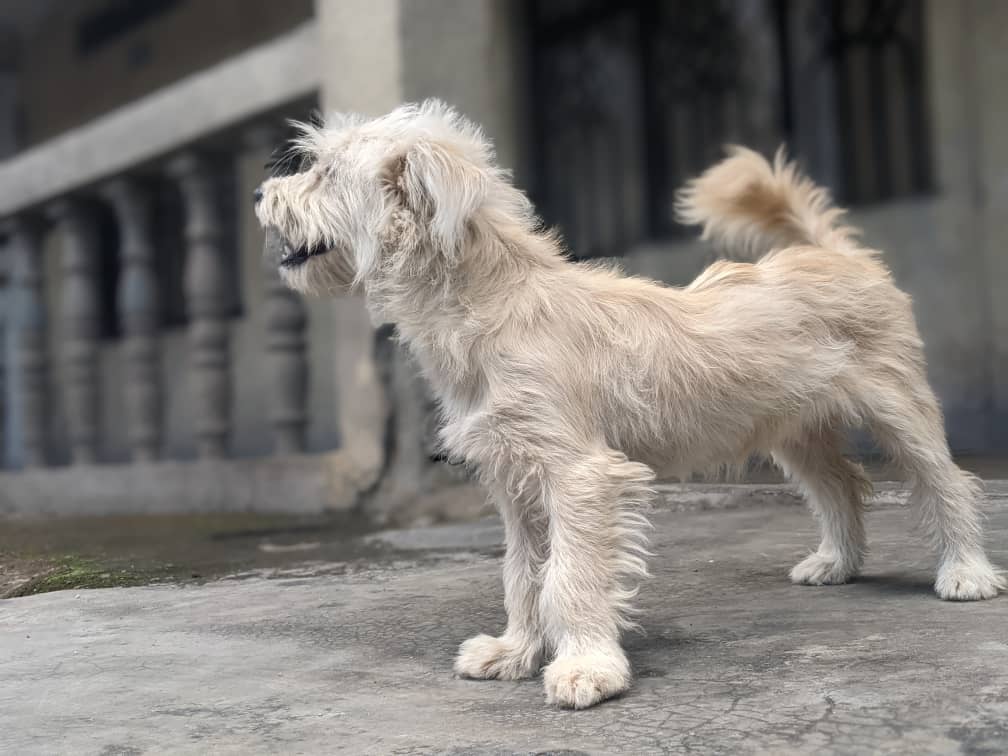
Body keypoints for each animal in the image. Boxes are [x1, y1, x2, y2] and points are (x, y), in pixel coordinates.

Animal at [256, 100, 1003, 709]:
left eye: (324, 173)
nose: (262, 192)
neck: (486, 307)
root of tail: (837, 255)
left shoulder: (579, 476)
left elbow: (569, 576)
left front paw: (587, 666)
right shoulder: (514, 478)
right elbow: (523, 575)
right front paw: (516, 651)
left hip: (899, 408)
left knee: (949, 484)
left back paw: (966, 572)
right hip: (794, 431)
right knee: (841, 485)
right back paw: (838, 563)